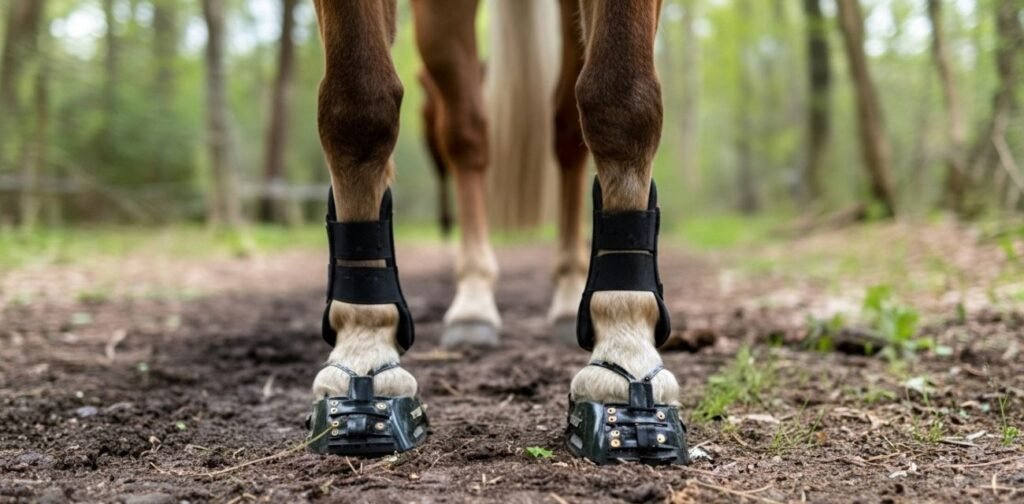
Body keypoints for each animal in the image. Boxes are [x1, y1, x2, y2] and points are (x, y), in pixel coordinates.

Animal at [306, 0, 688, 465]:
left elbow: (622, 102)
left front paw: (625, 347)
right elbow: (358, 110)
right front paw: (363, 347)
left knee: (565, 129)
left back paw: (568, 293)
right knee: (467, 131)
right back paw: (473, 302)